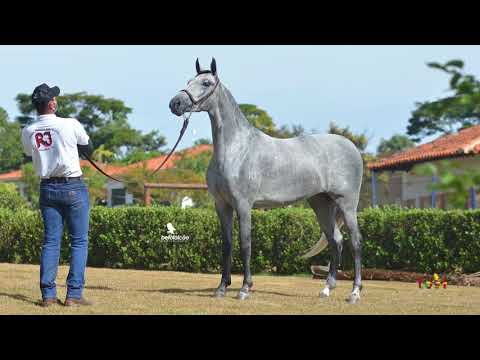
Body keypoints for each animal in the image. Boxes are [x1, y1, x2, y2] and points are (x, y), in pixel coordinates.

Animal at [170, 58, 364, 304]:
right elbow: (227, 245)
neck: (236, 149)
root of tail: (351, 148)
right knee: (335, 241)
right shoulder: (221, 205)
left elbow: (245, 244)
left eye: (206, 83)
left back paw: (354, 293)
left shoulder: (243, 205)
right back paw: (326, 289)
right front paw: (222, 288)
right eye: (188, 81)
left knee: (355, 242)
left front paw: (244, 288)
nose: (175, 103)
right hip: (321, 203)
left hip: (346, 204)